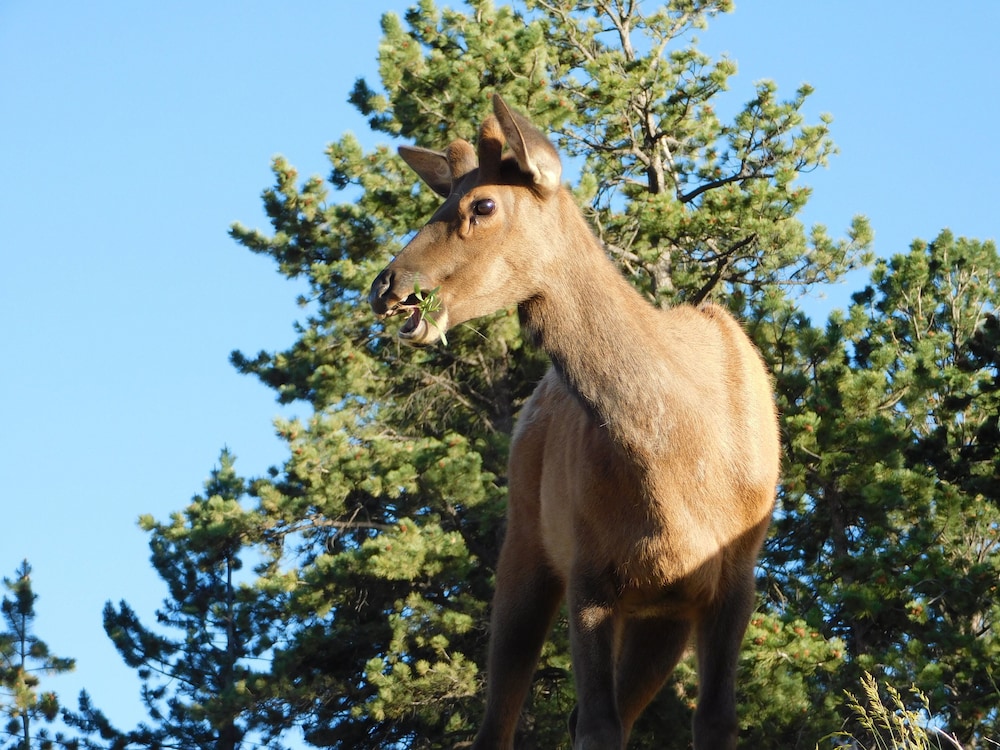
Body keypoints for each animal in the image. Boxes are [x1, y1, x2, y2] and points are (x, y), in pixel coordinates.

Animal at [368, 95, 780, 750]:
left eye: (482, 205)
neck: (683, 464)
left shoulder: (733, 581)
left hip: (659, 619)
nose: (387, 285)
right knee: (499, 721)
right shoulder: (590, 570)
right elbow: (597, 725)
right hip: (528, 546)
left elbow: (714, 721)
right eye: (441, 199)